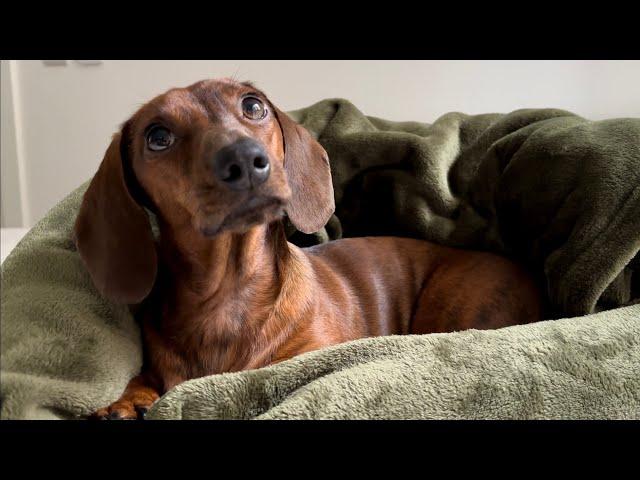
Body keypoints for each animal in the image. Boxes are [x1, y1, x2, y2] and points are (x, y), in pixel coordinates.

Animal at [74, 77, 540, 418]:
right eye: (157, 136)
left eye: (253, 106)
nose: (245, 160)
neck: (228, 295)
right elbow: (143, 379)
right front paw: (124, 402)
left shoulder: (309, 357)